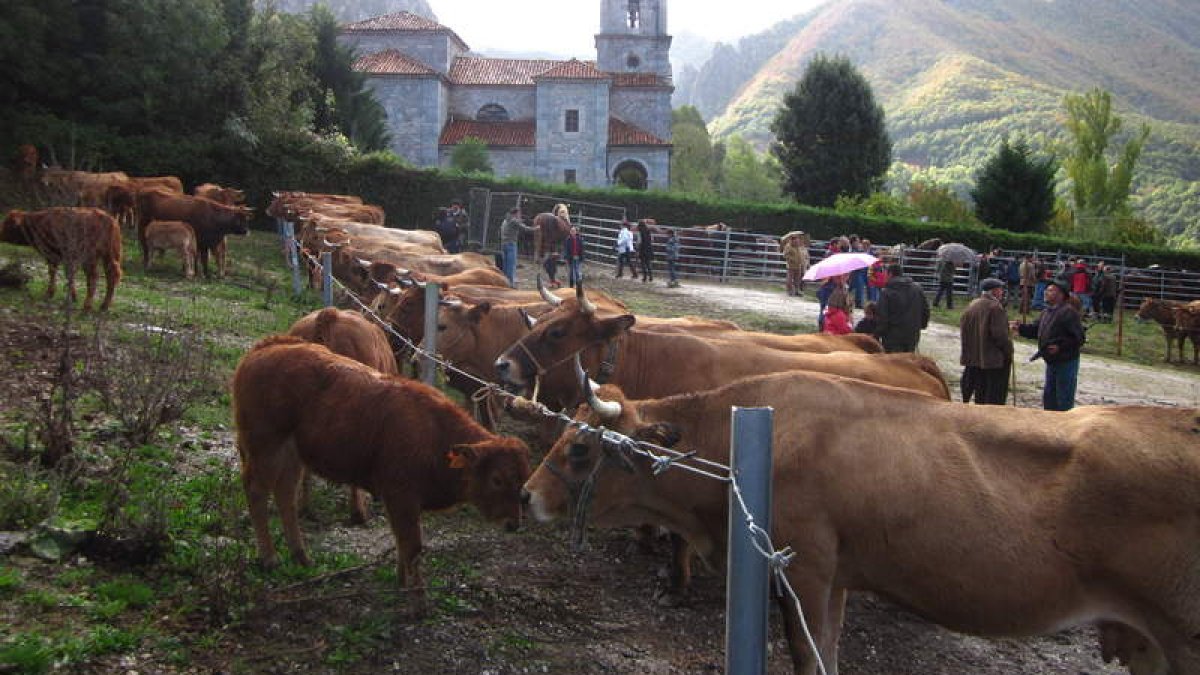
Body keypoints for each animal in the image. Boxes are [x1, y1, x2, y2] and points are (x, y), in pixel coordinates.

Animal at [232, 333, 530, 612]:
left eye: (523, 480)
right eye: (497, 479)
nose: (514, 523)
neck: (434, 434)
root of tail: (267, 347)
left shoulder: (400, 501)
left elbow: (402, 541)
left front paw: (401, 582)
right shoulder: (402, 497)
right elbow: (412, 546)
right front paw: (418, 602)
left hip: (292, 455)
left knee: (285, 495)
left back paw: (301, 555)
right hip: (265, 448)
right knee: (257, 492)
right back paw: (270, 558)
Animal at [528, 367, 1200, 672]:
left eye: (580, 449)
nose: (529, 495)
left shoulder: (805, 570)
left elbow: (806, 653)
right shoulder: (839, 577)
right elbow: (827, 649)